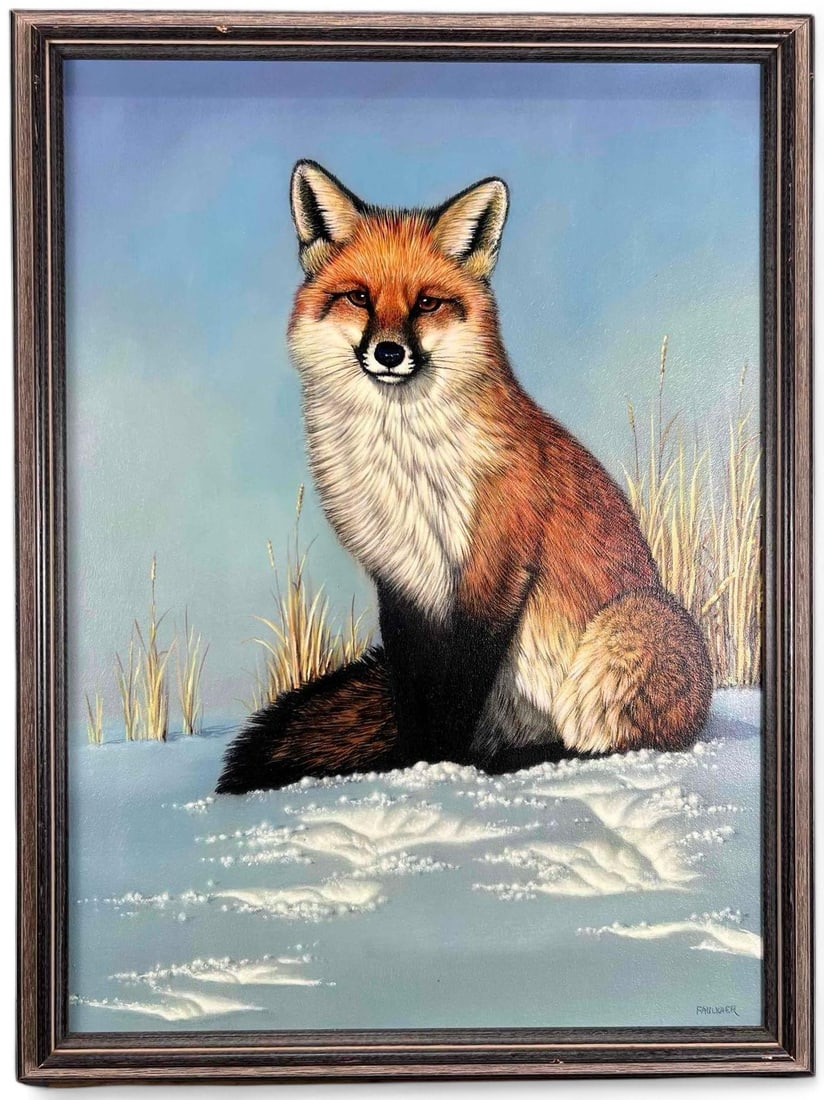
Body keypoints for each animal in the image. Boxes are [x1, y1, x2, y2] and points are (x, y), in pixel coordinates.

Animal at [216, 160, 713, 794]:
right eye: (358, 297)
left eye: (427, 303)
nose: (388, 352)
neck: (403, 464)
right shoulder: (400, 581)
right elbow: (414, 694)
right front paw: (409, 765)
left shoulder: (494, 571)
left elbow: (459, 689)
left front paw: (445, 768)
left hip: (627, 630)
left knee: (611, 745)